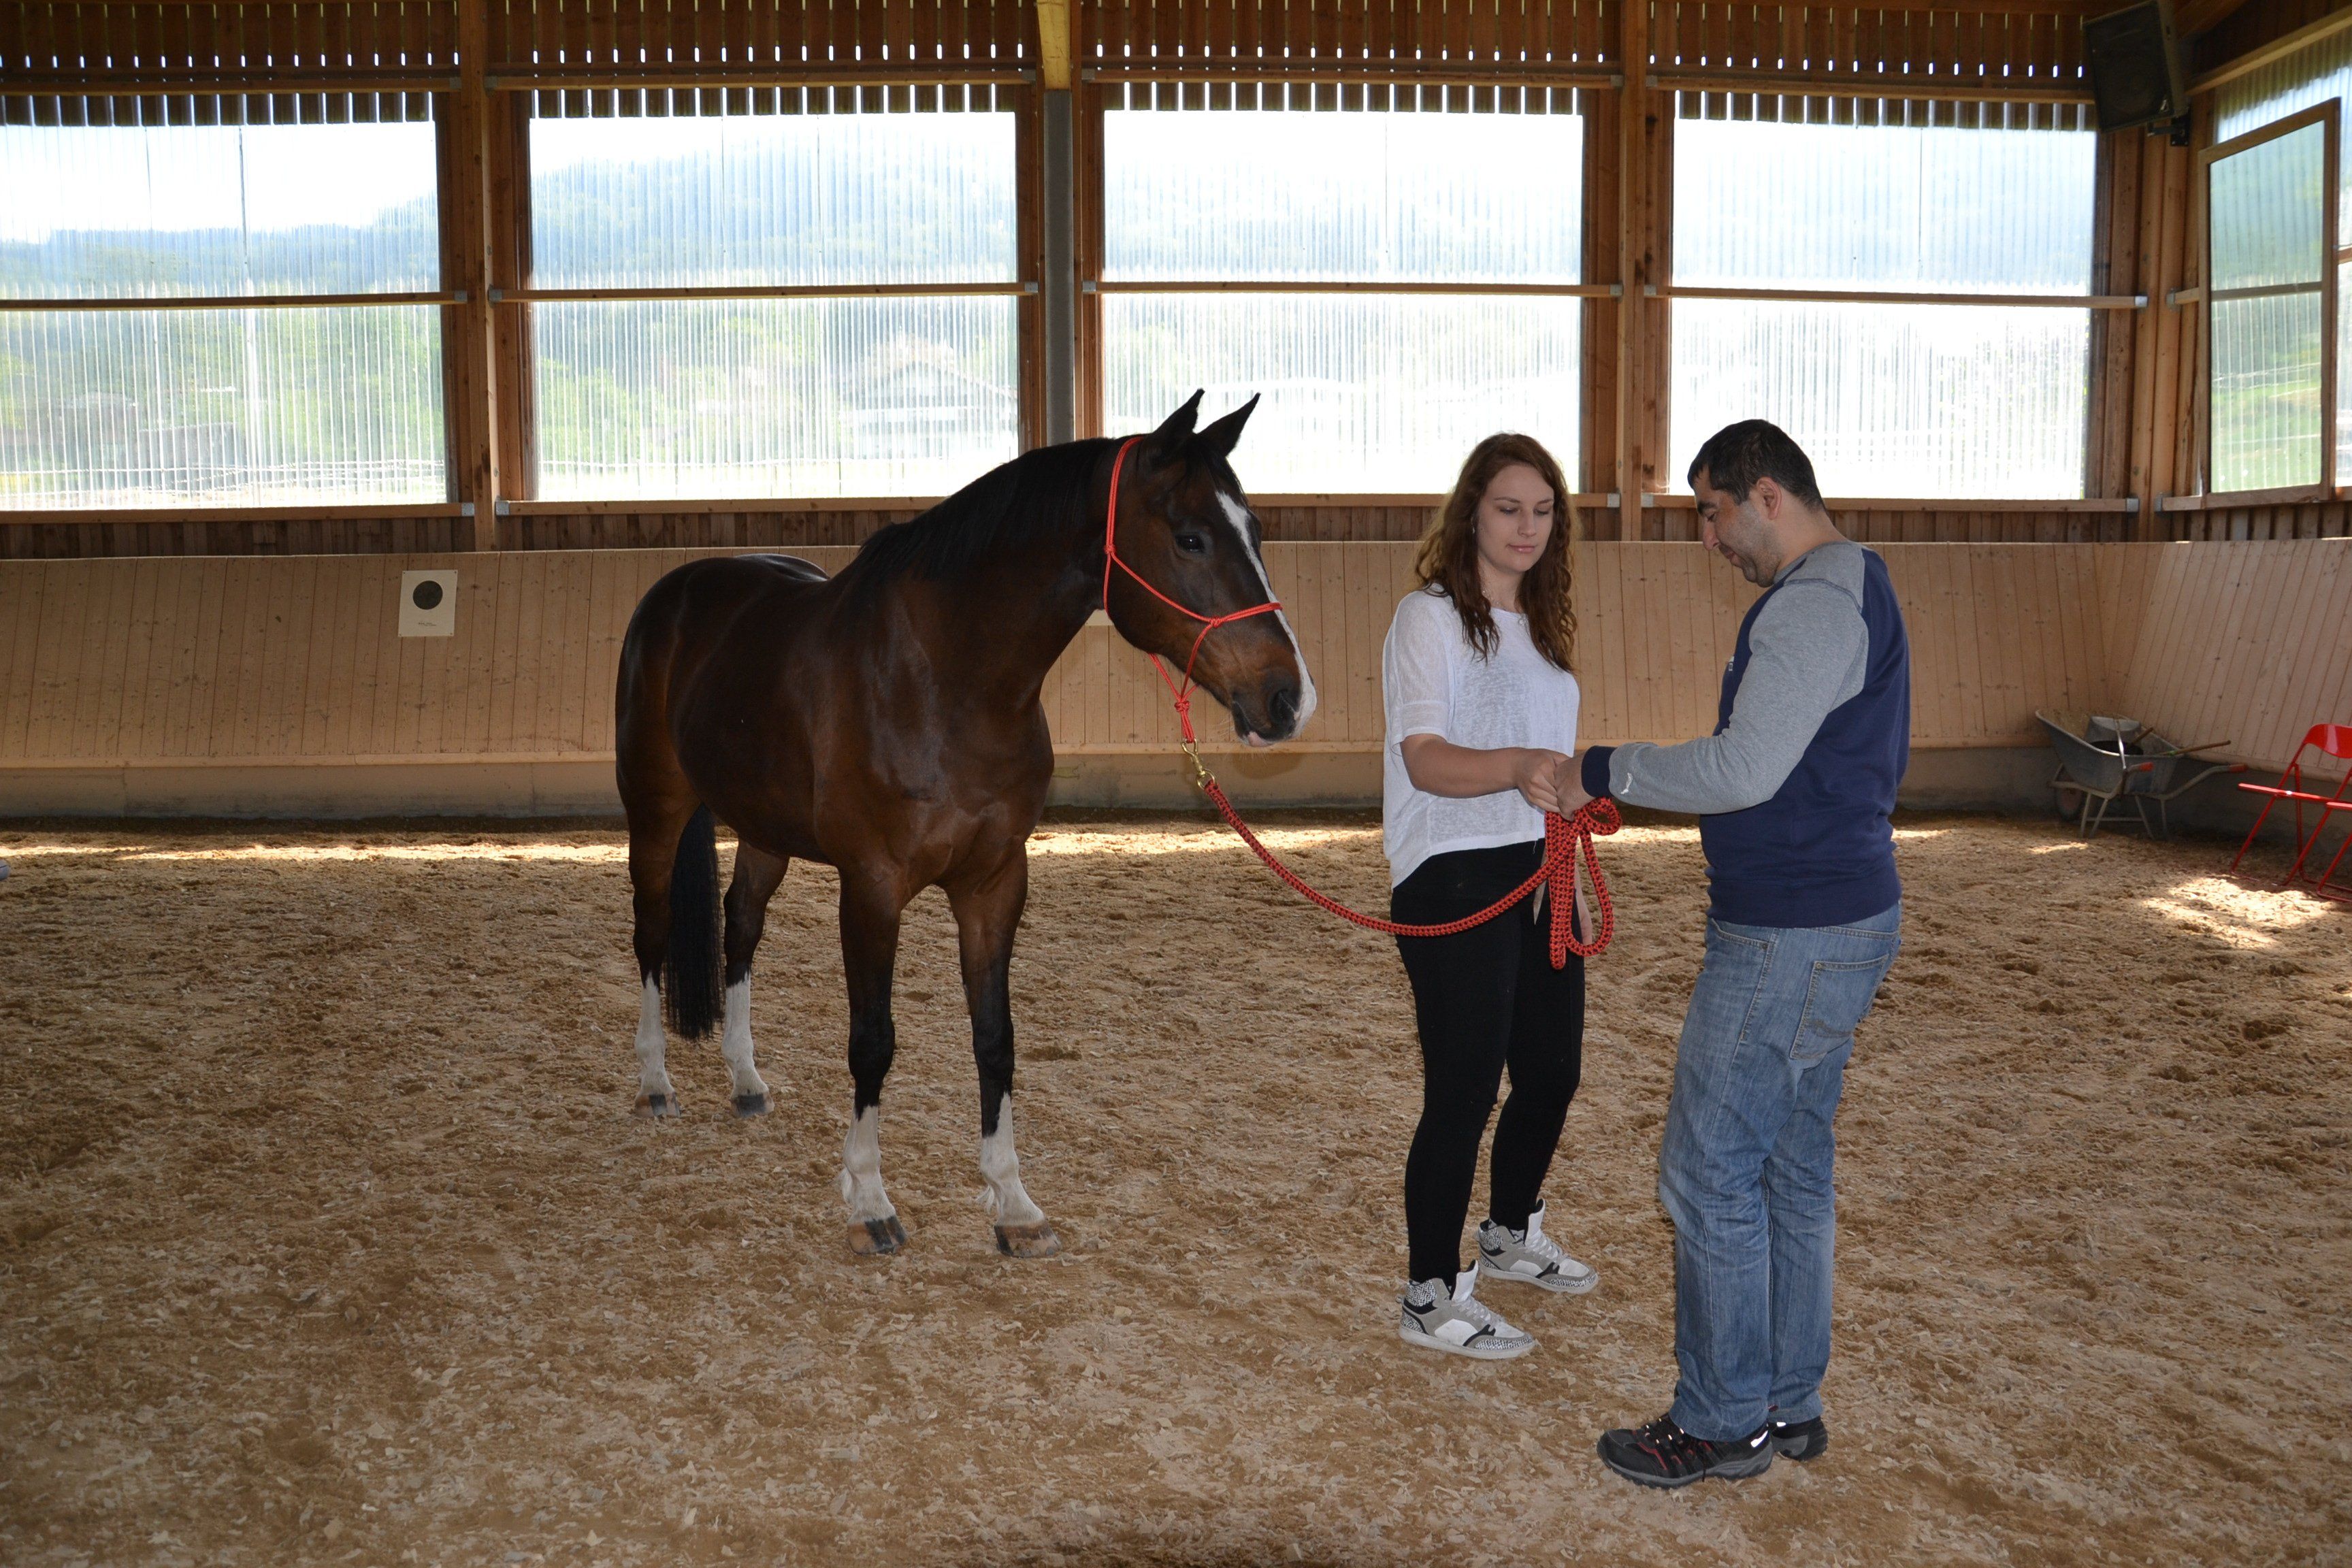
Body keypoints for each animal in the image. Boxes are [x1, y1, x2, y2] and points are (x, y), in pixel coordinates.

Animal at [613, 392, 1316, 1258]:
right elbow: (873, 1040)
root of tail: (676, 592)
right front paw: (870, 1199)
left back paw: (746, 1081)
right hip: (656, 812)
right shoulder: (872, 890)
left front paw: (1013, 1203)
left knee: (739, 924)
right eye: (1190, 537)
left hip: (764, 832)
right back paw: (655, 1083)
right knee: (651, 933)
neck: (946, 679)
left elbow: (996, 1038)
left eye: (1253, 530)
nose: (1288, 699)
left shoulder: (994, 882)